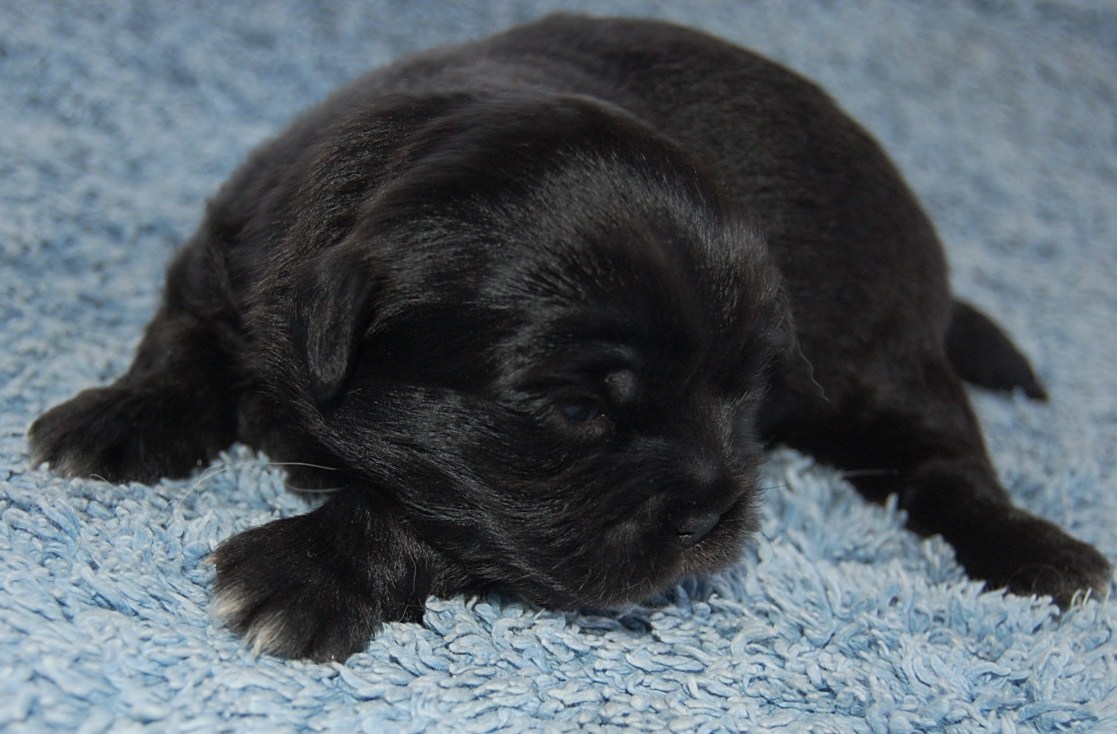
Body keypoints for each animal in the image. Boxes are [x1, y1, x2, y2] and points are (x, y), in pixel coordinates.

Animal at [29, 14, 1111, 661]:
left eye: (744, 396)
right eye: (580, 410)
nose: (716, 512)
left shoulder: (495, 516)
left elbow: (420, 512)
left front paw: (305, 573)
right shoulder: (229, 257)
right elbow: (179, 343)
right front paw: (115, 419)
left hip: (883, 365)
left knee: (946, 464)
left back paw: (1041, 551)